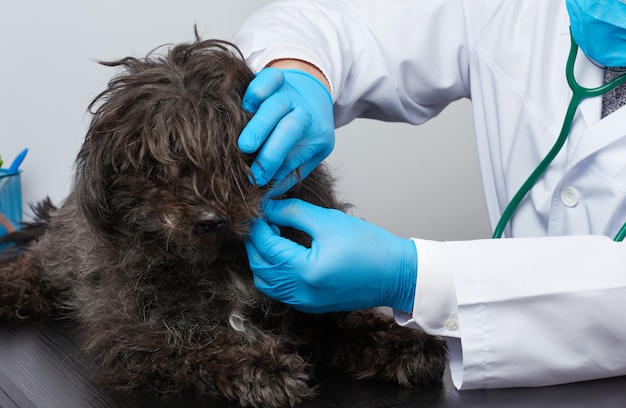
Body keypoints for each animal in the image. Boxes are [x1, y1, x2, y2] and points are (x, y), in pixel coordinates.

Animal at [0, 35, 444, 408]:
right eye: (157, 163)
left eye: (241, 157)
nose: (211, 219)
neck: (221, 263)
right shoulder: (133, 334)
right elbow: (194, 344)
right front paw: (260, 367)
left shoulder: (313, 309)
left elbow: (349, 319)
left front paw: (403, 342)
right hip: (60, 258)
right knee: (35, 265)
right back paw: (11, 288)